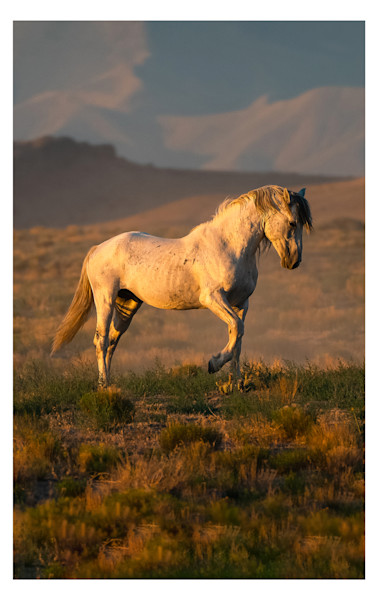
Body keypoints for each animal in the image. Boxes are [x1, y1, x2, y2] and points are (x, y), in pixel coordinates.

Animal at [53, 185, 314, 386]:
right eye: (292, 223)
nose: (294, 261)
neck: (229, 246)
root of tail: (98, 248)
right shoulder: (213, 299)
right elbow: (236, 329)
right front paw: (214, 363)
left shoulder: (242, 303)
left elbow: (238, 338)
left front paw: (236, 383)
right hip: (105, 298)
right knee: (101, 339)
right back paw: (103, 384)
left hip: (128, 304)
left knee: (112, 341)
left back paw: (109, 381)